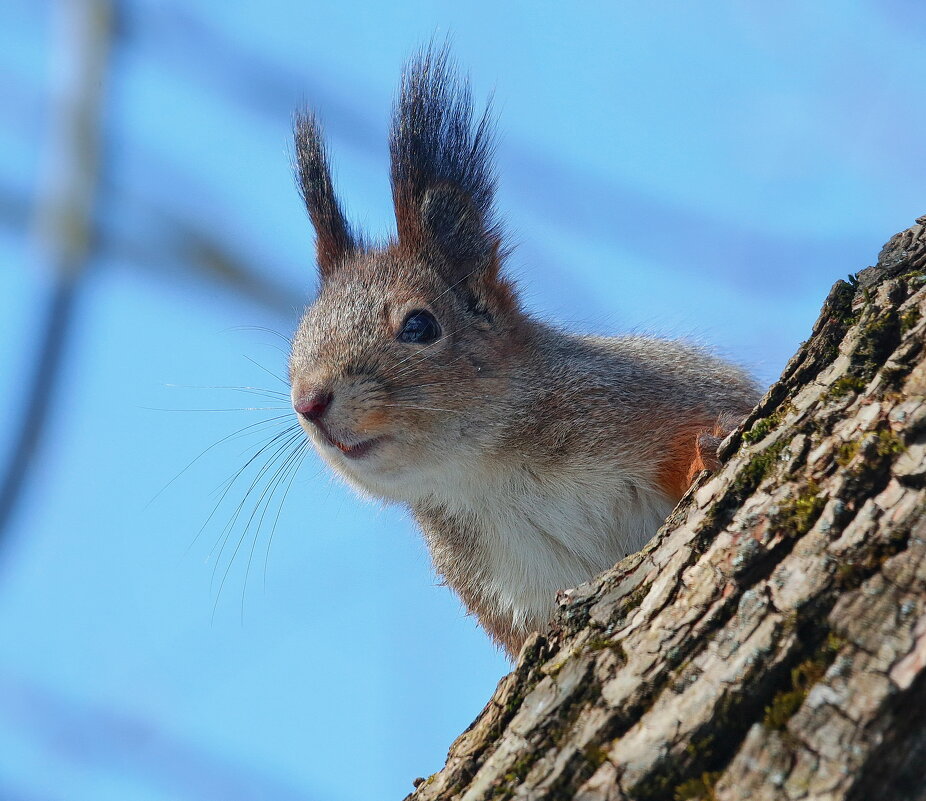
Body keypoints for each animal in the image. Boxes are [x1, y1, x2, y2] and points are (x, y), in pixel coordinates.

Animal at [290, 45, 760, 656]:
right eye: (298, 337)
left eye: (419, 326)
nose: (308, 402)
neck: (485, 474)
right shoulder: (501, 594)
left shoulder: (643, 397)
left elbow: (700, 422)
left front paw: (706, 448)